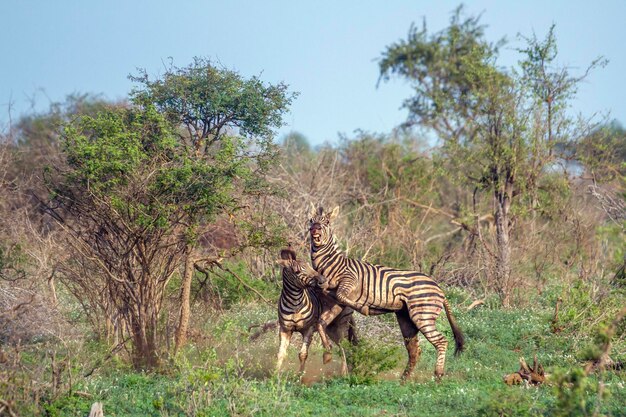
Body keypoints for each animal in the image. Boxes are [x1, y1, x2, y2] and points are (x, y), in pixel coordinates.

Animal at [308, 203, 464, 378]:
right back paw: (403, 380)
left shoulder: (350, 281)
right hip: (407, 319)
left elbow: (344, 297)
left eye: (327, 222)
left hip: (423, 315)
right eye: (311, 220)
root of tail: (440, 289)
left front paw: (364, 308)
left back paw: (438, 375)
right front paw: (327, 354)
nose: (314, 229)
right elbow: (321, 323)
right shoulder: (336, 302)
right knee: (415, 350)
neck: (331, 264)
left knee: (441, 341)